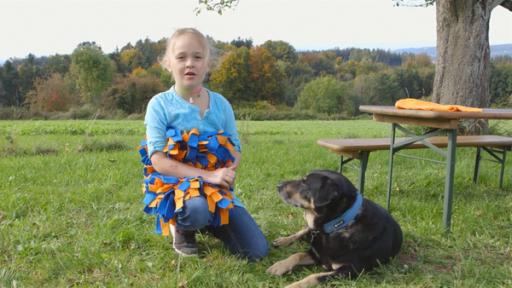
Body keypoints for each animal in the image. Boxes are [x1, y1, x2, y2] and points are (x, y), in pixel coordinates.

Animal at [266, 170, 402, 286]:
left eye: (304, 182)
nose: (278, 185)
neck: (338, 225)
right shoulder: (317, 253)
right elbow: (297, 255)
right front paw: (279, 265)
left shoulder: (348, 271)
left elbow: (314, 276)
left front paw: (294, 285)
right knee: (304, 231)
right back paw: (283, 240)